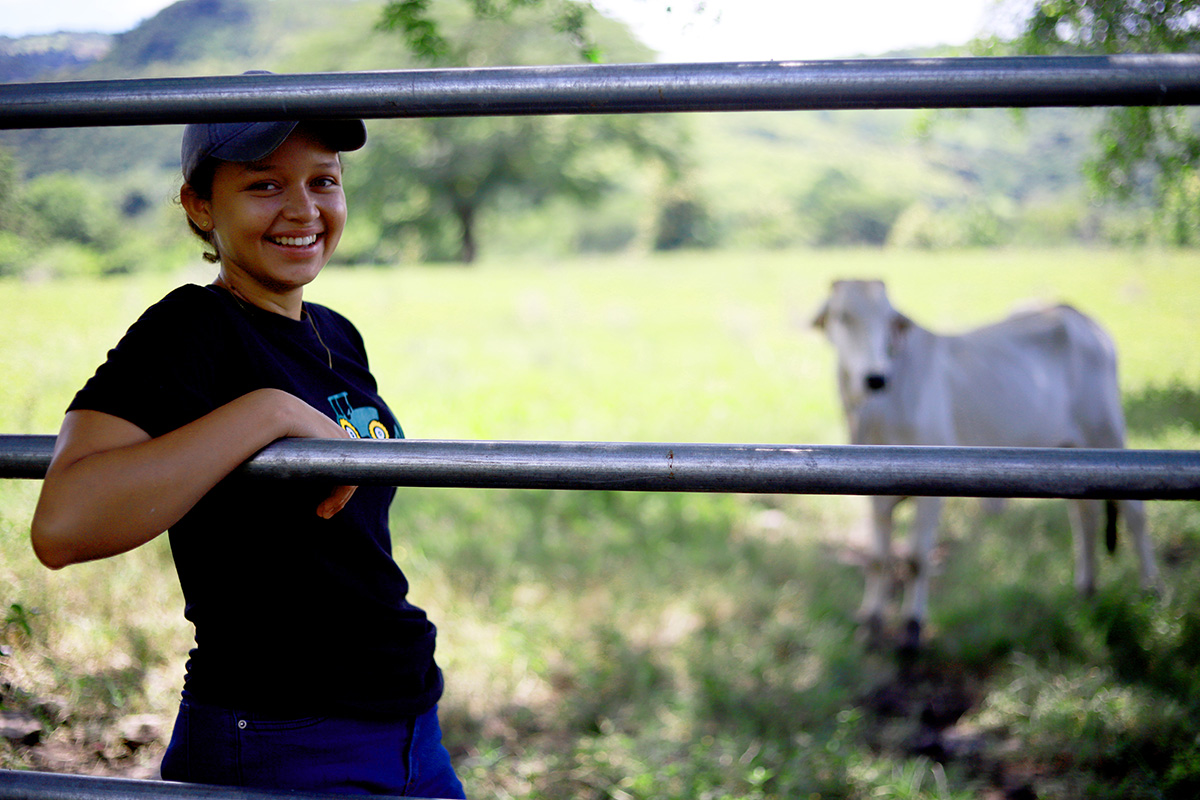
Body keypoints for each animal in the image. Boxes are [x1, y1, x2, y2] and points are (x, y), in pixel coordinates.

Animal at [811, 281, 1156, 652]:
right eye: (843, 316)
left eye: (889, 320)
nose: (875, 377)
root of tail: (1078, 317)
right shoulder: (874, 497)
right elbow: (877, 558)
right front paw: (871, 622)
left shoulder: (929, 492)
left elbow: (917, 559)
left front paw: (912, 627)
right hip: (1075, 455)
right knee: (1085, 516)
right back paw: (1086, 591)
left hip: (1108, 434)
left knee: (1135, 514)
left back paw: (1153, 592)